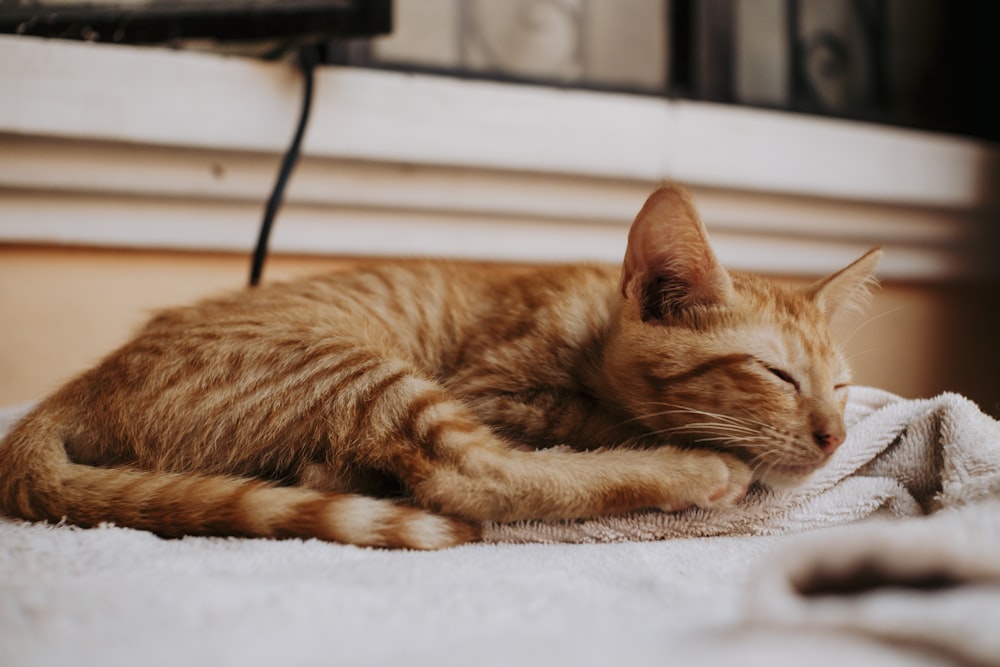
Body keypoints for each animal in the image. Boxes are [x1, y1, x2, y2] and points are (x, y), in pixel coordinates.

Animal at [0, 183, 880, 548]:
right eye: (776, 374)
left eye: (840, 386)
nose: (836, 437)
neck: (590, 319)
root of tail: (77, 387)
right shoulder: (492, 388)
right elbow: (584, 421)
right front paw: (696, 443)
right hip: (362, 371)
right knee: (470, 475)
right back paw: (693, 469)